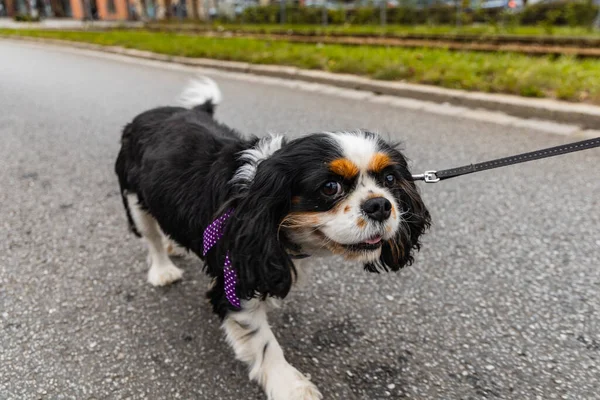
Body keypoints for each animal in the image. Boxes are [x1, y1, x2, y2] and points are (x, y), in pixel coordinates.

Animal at [113, 76, 432, 398]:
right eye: (330, 187)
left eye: (389, 179)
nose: (380, 205)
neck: (253, 194)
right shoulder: (234, 280)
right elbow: (264, 343)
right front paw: (291, 386)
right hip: (134, 200)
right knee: (151, 238)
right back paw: (163, 270)